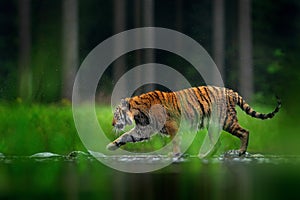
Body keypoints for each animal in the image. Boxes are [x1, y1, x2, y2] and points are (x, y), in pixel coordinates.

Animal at [106, 86, 282, 156]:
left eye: (116, 114)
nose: (112, 124)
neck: (138, 112)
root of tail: (231, 91)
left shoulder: (172, 126)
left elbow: (175, 141)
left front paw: (175, 154)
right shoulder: (145, 129)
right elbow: (126, 136)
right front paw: (111, 146)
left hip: (227, 121)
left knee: (245, 132)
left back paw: (240, 152)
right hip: (214, 125)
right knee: (216, 143)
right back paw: (205, 155)